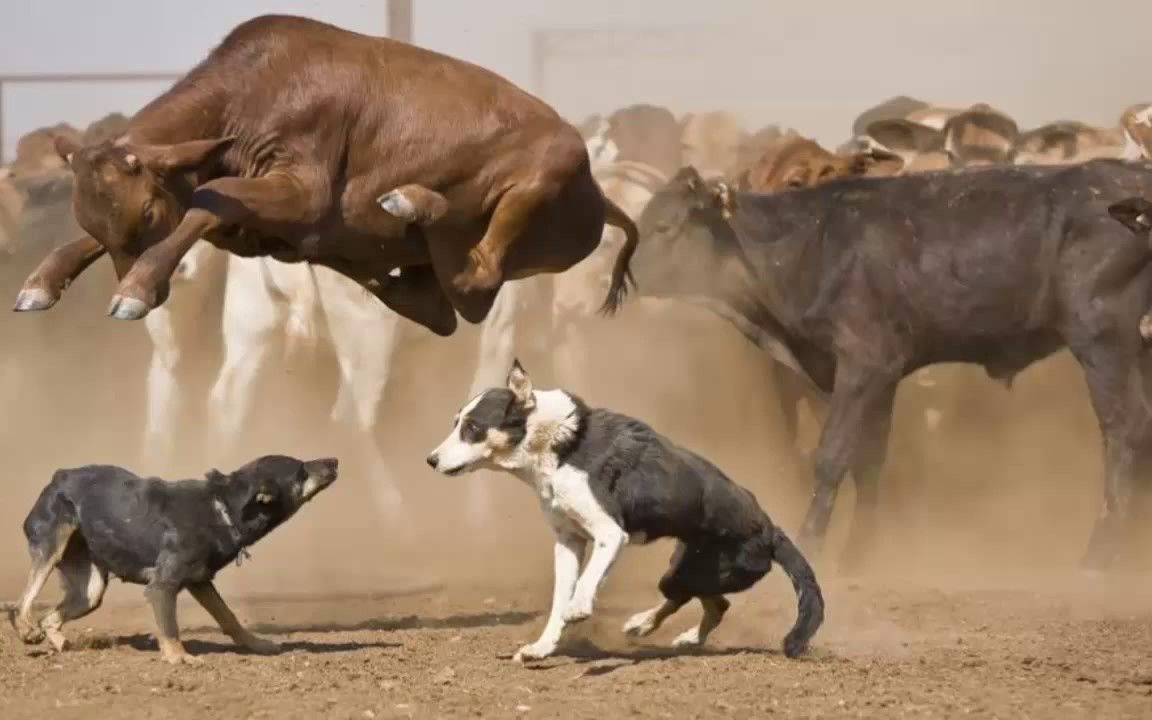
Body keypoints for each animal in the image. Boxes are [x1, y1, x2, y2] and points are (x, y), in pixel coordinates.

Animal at [9, 453, 336, 663]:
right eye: (300, 471)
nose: (334, 460)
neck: (223, 509)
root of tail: (59, 476)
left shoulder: (200, 580)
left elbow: (228, 617)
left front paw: (256, 644)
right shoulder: (162, 586)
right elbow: (170, 625)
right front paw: (178, 657)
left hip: (90, 591)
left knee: (50, 617)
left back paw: (63, 644)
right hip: (51, 546)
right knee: (21, 603)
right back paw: (26, 630)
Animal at [428, 361, 824, 658]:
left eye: (473, 428)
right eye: (456, 423)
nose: (430, 460)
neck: (562, 443)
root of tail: (771, 530)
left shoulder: (609, 533)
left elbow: (585, 582)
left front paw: (579, 608)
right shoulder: (568, 541)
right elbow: (558, 598)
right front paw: (542, 647)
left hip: (699, 571)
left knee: (698, 600)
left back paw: (648, 625)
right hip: (686, 567)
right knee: (714, 605)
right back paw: (657, 629)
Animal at [635, 160, 1152, 569]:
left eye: (667, 226)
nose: (628, 274)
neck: (807, 245)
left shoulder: (863, 363)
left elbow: (831, 457)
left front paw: (813, 544)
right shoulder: (883, 377)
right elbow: (869, 461)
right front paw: (858, 552)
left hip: (1103, 337)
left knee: (1125, 430)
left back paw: (1099, 557)